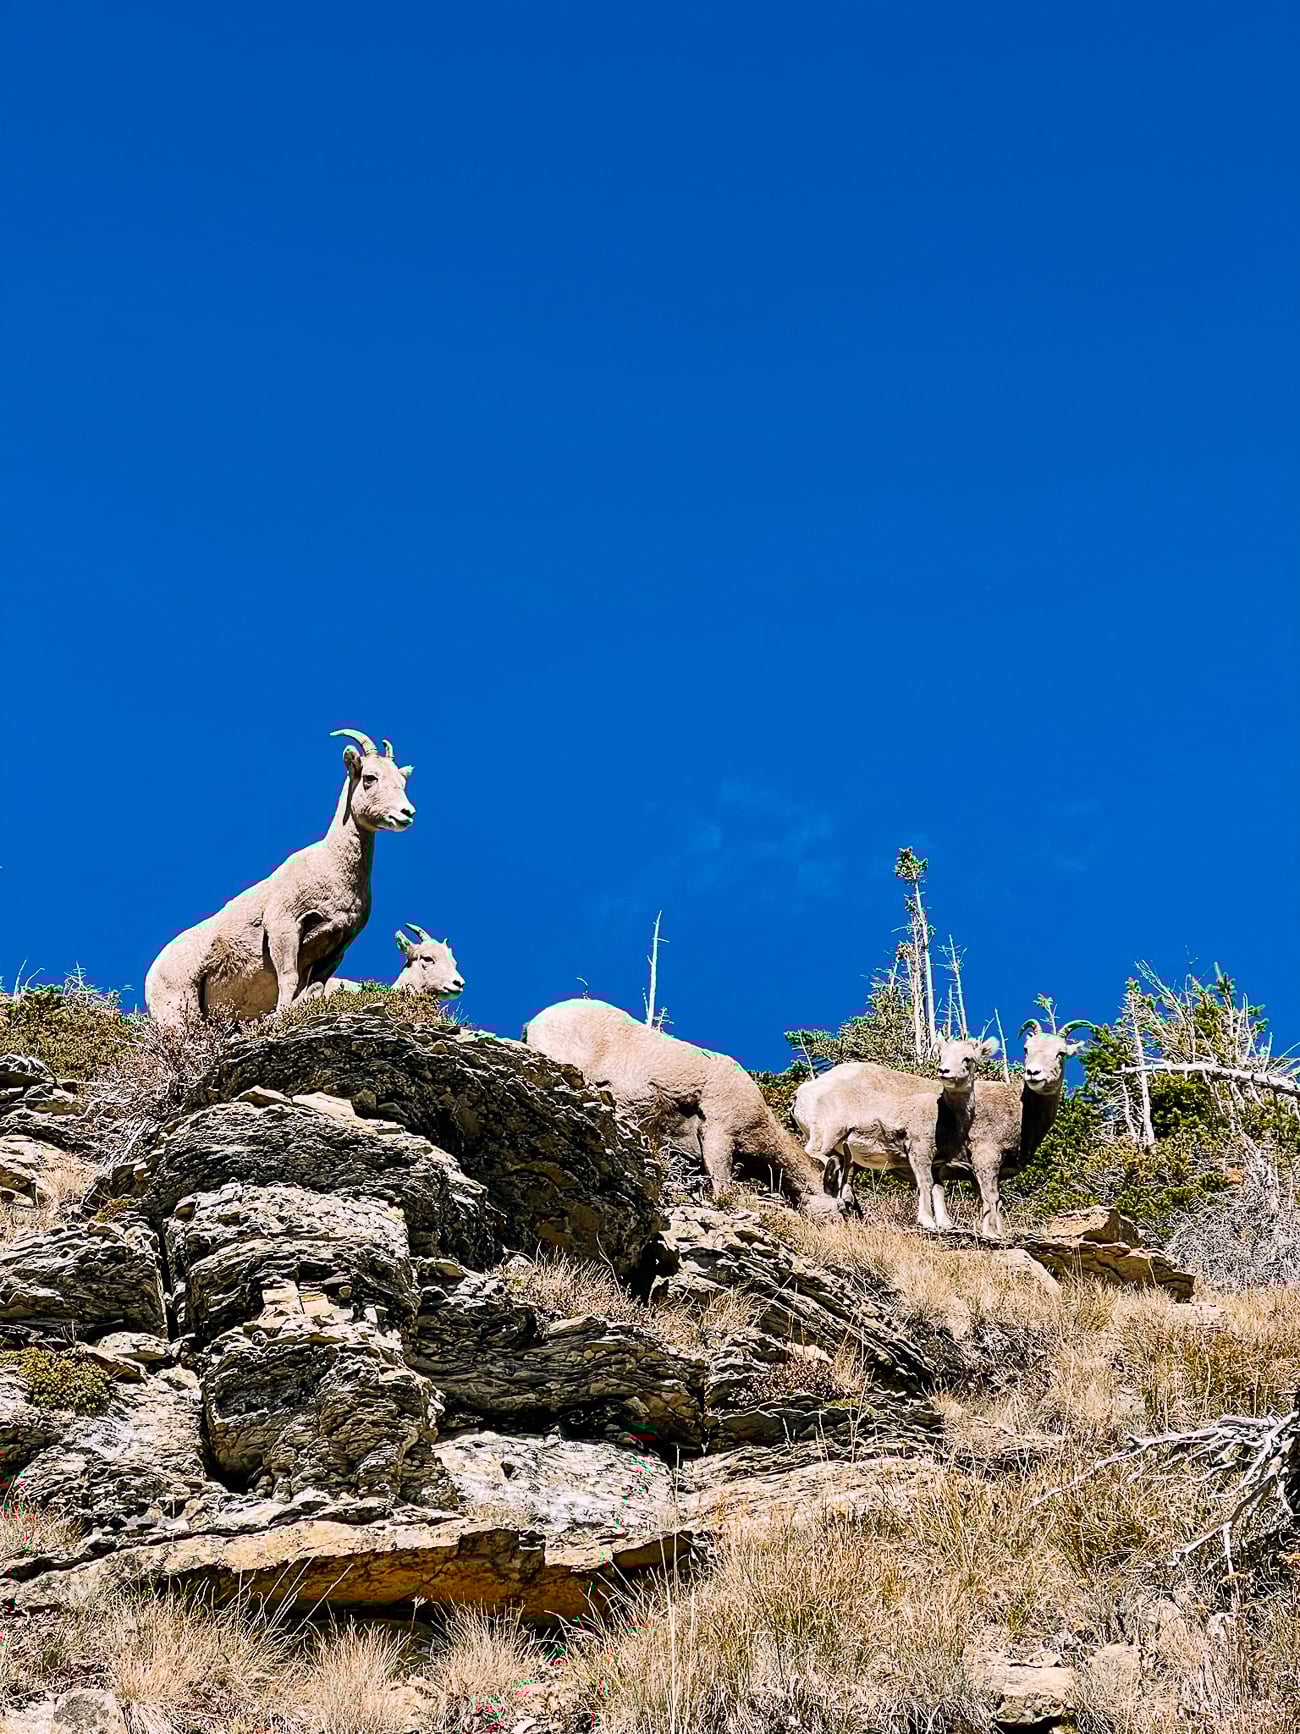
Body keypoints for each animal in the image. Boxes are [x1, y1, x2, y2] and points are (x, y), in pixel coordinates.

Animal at [145, 730, 415, 1026]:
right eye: (369, 777)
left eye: (402, 781)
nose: (407, 813)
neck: (331, 867)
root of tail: (151, 976)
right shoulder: (283, 928)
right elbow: (288, 979)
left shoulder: (335, 950)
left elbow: (313, 990)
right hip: (178, 1011)